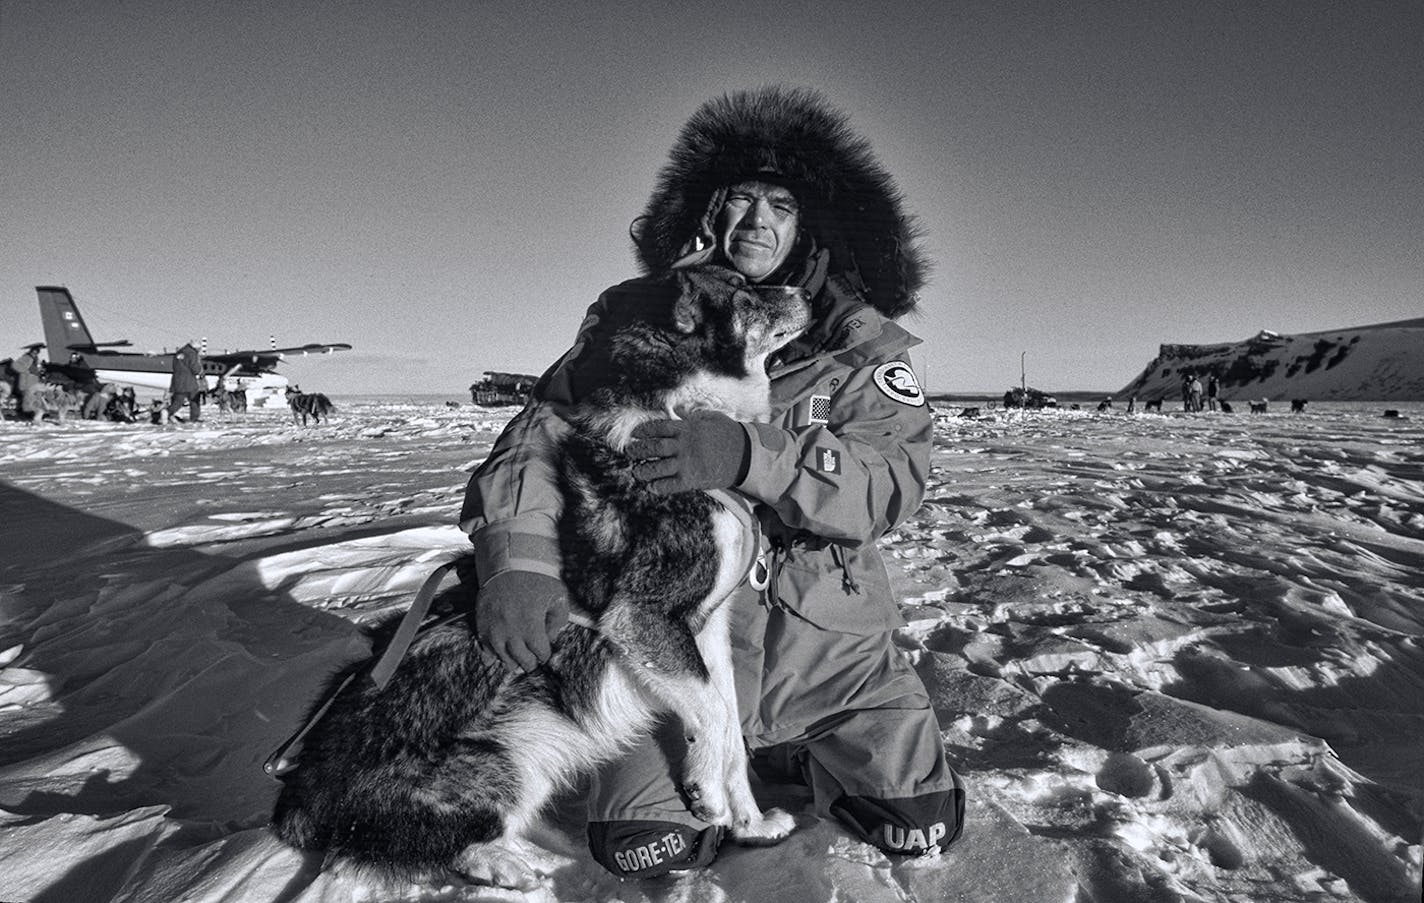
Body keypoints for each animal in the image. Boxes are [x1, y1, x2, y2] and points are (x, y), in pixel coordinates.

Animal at [271, 263, 808, 883]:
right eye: (744, 293)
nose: (805, 291)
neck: (680, 415)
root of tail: (305, 793)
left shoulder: (706, 631)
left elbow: (729, 728)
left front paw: (750, 823)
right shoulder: (642, 617)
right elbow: (718, 716)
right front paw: (707, 794)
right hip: (511, 756)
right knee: (431, 846)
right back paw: (511, 864)